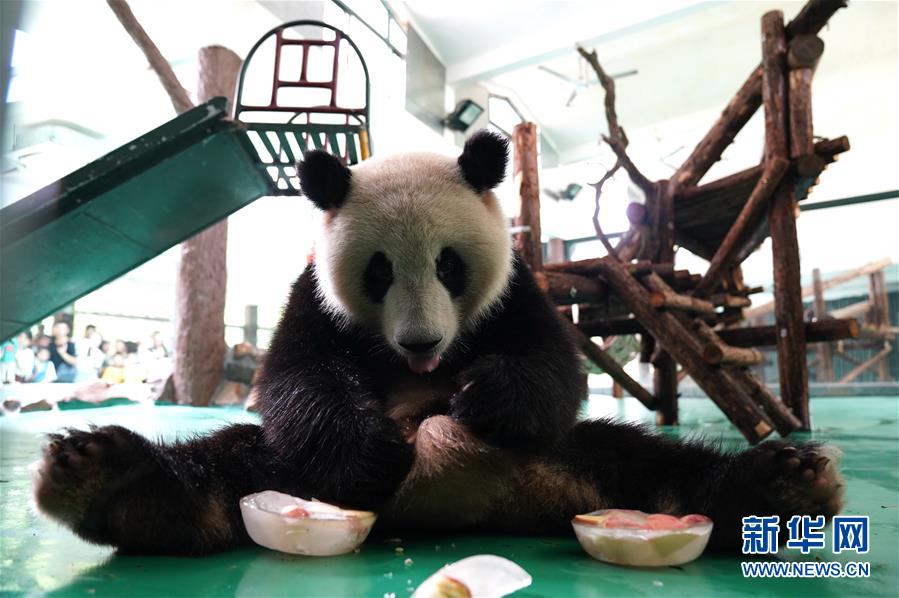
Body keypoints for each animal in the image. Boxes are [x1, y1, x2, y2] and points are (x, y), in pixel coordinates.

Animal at [33, 131, 844, 556]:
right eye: (378, 270)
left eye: (449, 265)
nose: (421, 343)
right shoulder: (315, 299)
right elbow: (297, 377)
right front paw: (374, 443)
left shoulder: (517, 292)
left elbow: (552, 366)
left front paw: (485, 395)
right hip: (288, 470)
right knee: (221, 471)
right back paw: (107, 477)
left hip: (579, 454)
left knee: (652, 464)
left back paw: (780, 484)